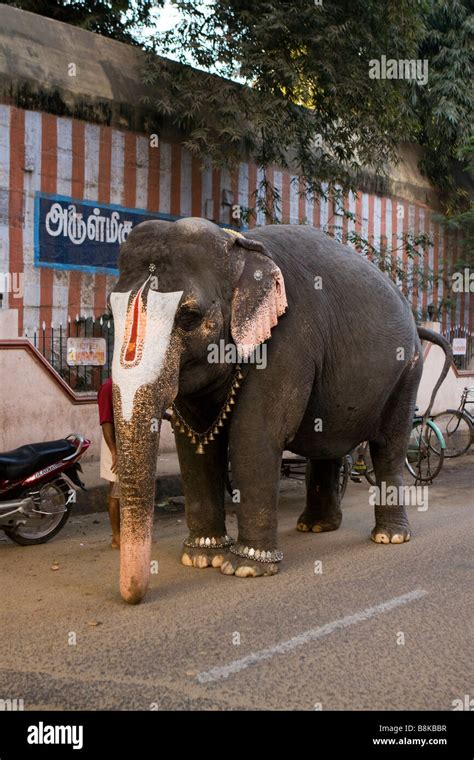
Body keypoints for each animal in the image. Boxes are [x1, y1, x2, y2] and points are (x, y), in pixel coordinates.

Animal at [110, 217, 452, 604]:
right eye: (110, 314)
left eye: (189, 317)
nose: (133, 598)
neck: (239, 247)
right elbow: (195, 444)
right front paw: (201, 558)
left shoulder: (287, 341)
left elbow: (253, 437)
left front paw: (245, 568)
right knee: (326, 445)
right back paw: (316, 526)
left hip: (407, 371)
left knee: (389, 446)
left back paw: (389, 537)